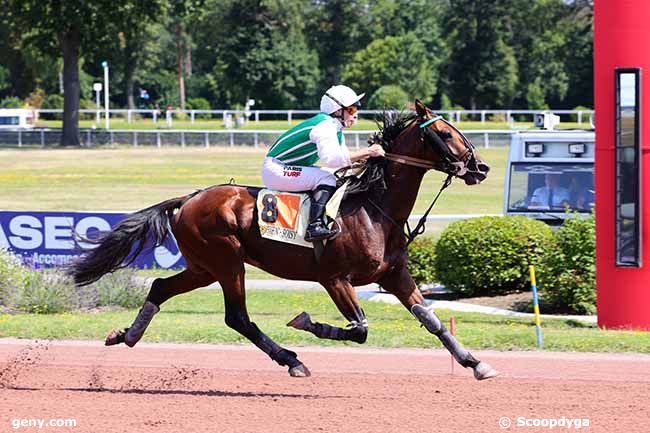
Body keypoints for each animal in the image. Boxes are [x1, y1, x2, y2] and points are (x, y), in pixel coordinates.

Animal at [68, 100, 496, 378]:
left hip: (204, 267)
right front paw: (306, 321)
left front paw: (475, 363)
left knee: (160, 286)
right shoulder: (334, 279)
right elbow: (359, 329)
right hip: (227, 262)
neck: (374, 210)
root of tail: (189, 199)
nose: (480, 167)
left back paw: (126, 335)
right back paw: (292, 360)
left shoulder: (393, 275)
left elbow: (432, 320)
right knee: (237, 317)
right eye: (444, 133)